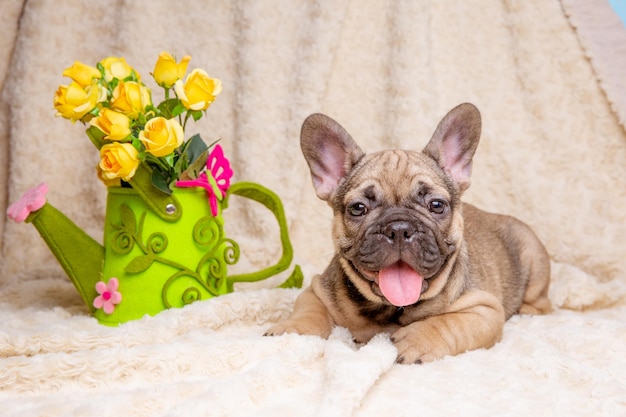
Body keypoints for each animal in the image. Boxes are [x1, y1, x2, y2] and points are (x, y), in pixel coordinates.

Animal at [266, 102, 548, 362]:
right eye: (358, 208)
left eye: (437, 205)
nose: (399, 229)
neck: (393, 308)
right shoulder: (317, 291)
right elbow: (309, 312)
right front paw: (290, 332)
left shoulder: (484, 310)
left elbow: (450, 323)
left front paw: (416, 339)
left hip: (534, 261)